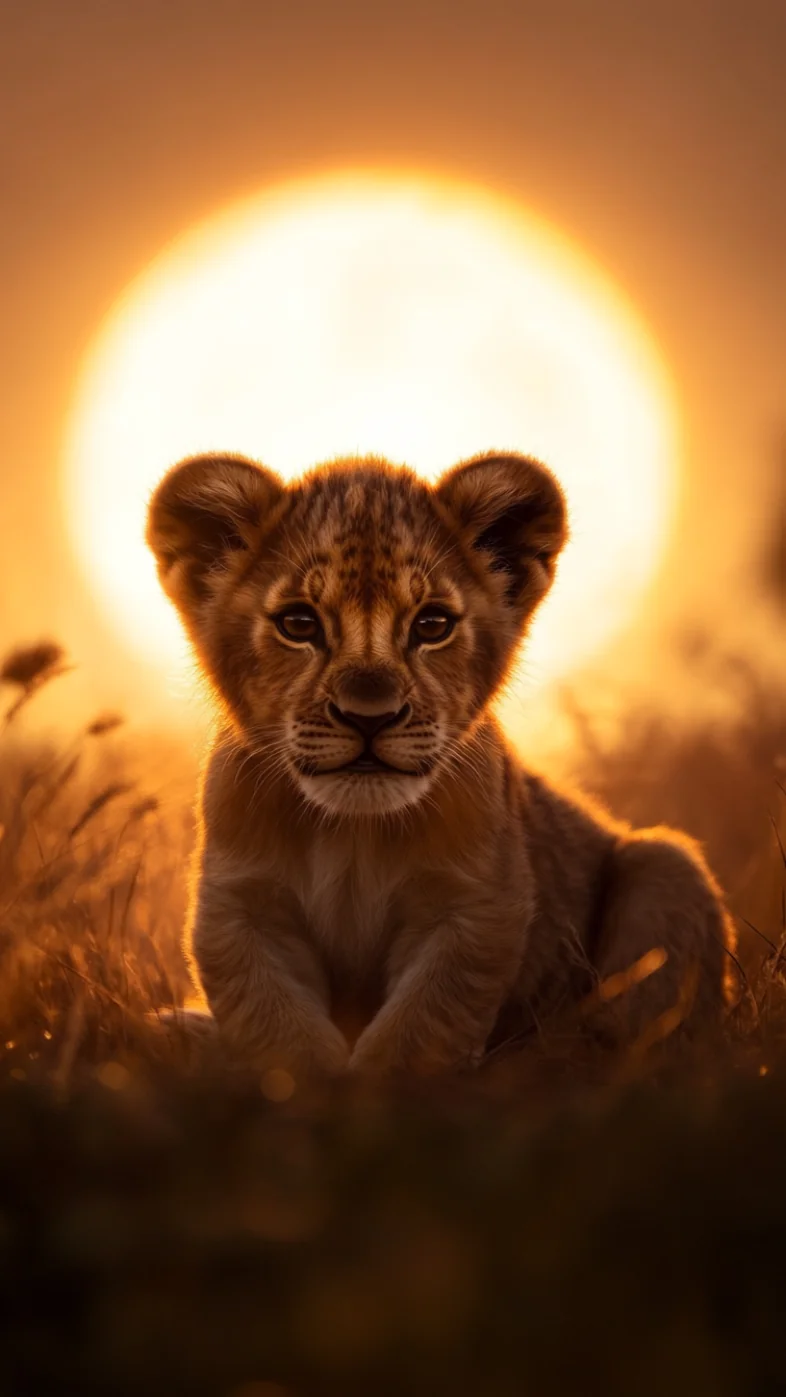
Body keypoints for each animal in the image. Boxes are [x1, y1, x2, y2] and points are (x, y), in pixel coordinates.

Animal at [146, 450, 735, 1076]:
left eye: (431, 625)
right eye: (299, 624)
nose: (369, 716)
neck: (353, 833)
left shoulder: (474, 908)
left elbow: (422, 1027)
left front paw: (380, 1091)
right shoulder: (242, 907)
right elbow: (275, 1025)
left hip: (666, 867)